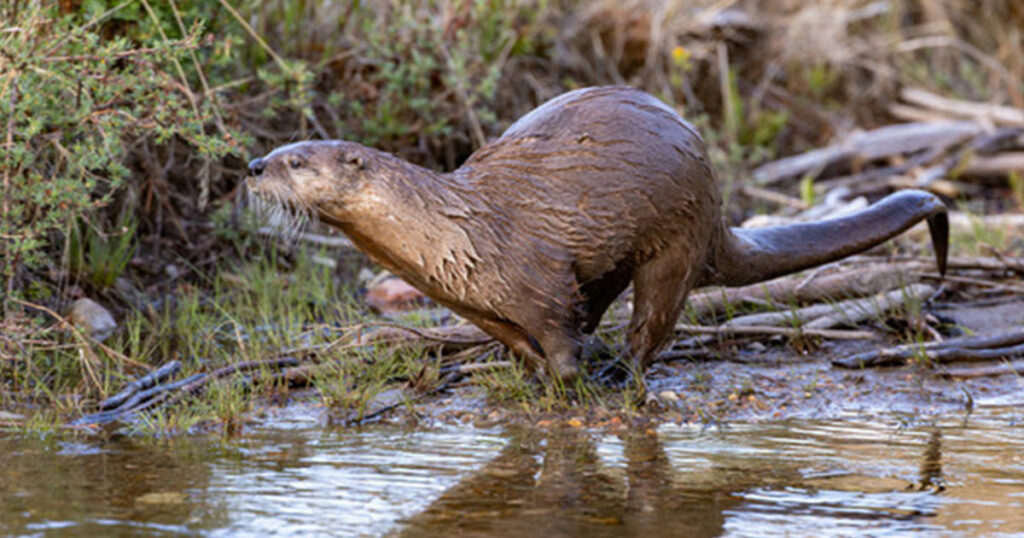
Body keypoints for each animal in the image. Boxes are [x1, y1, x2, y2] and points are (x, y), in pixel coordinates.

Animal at [247, 86, 948, 380]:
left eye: (297, 161)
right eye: (277, 150)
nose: (253, 167)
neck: (451, 232)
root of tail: (718, 206)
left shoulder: (531, 276)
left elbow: (556, 330)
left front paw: (567, 378)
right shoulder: (470, 298)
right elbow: (517, 337)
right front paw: (531, 373)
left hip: (678, 237)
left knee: (654, 323)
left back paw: (620, 371)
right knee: (604, 299)